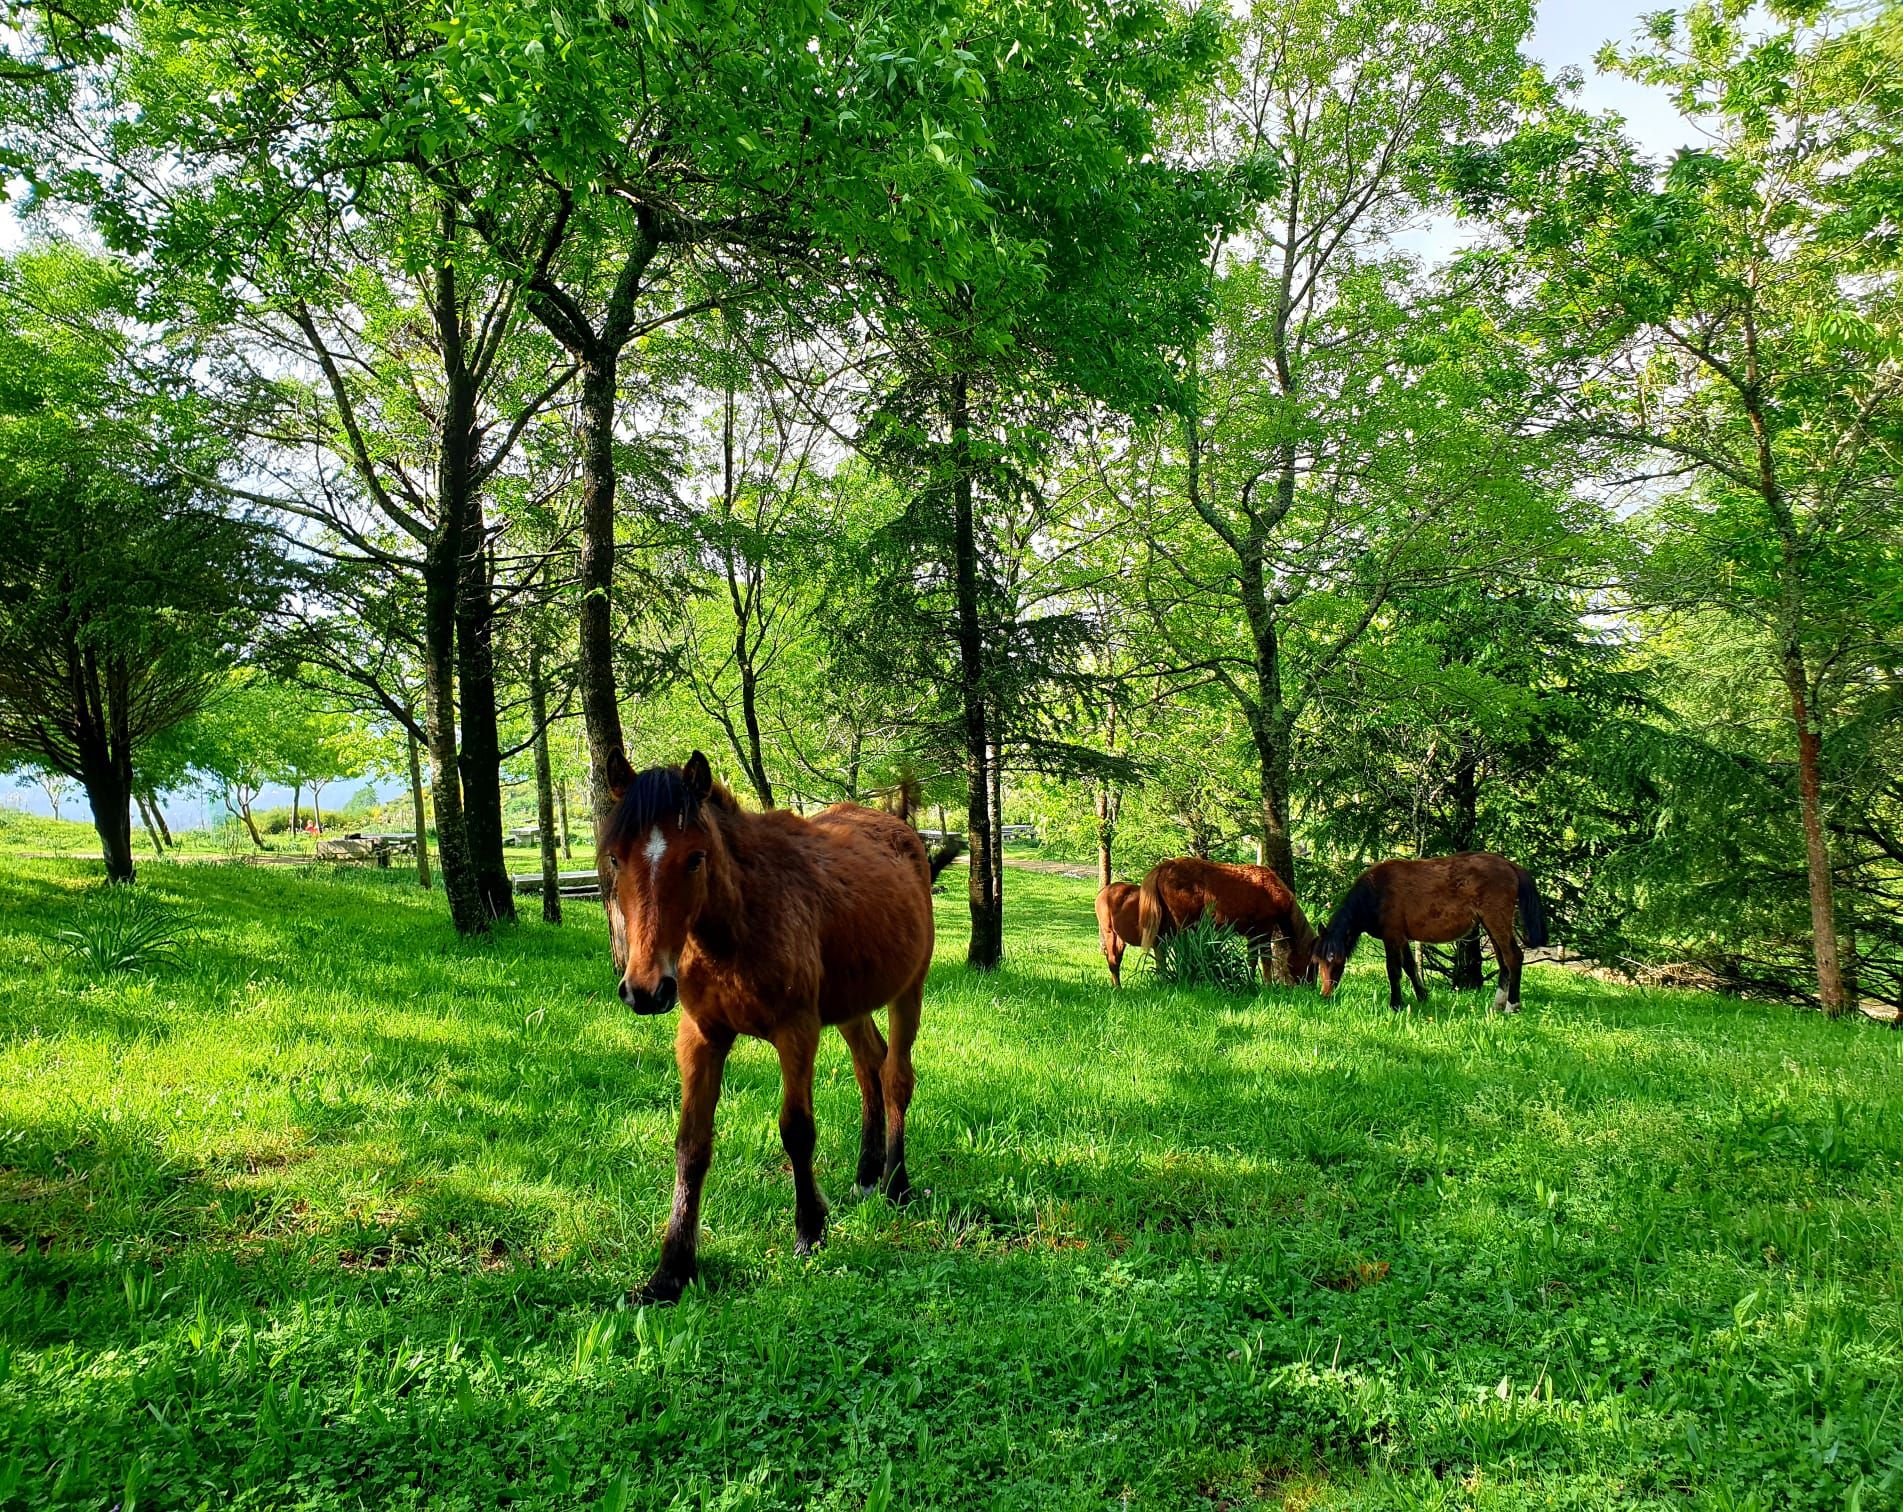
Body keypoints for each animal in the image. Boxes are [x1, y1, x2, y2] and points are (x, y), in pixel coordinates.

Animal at [605, 749, 966, 1300]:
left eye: (695, 858)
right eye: (615, 858)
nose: (646, 989)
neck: (740, 920)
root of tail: (901, 828)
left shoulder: (796, 1031)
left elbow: (797, 1129)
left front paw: (809, 1229)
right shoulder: (701, 1036)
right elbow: (692, 1144)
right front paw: (672, 1269)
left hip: (909, 990)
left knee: (895, 1077)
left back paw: (895, 1182)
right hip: (852, 1004)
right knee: (870, 1066)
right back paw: (867, 1173)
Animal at [1134, 855, 1316, 988]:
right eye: (1312, 963)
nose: (1310, 986)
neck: (1274, 891)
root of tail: (1162, 867)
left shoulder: (1252, 933)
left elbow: (1252, 959)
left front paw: (1251, 982)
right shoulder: (1265, 927)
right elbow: (1266, 957)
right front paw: (1268, 985)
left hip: (1167, 921)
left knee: (1160, 947)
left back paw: (1163, 977)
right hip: (1182, 922)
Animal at [1316, 855, 1552, 1011]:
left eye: (1335, 959)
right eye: (1318, 960)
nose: (1324, 994)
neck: (1375, 892)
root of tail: (1510, 864)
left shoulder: (1392, 937)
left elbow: (1394, 970)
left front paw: (1396, 1004)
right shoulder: (1402, 937)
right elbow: (1410, 967)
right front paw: (1422, 996)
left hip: (1496, 920)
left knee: (1513, 957)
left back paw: (1512, 1005)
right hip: (1489, 923)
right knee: (1503, 962)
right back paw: (1497, 1005)